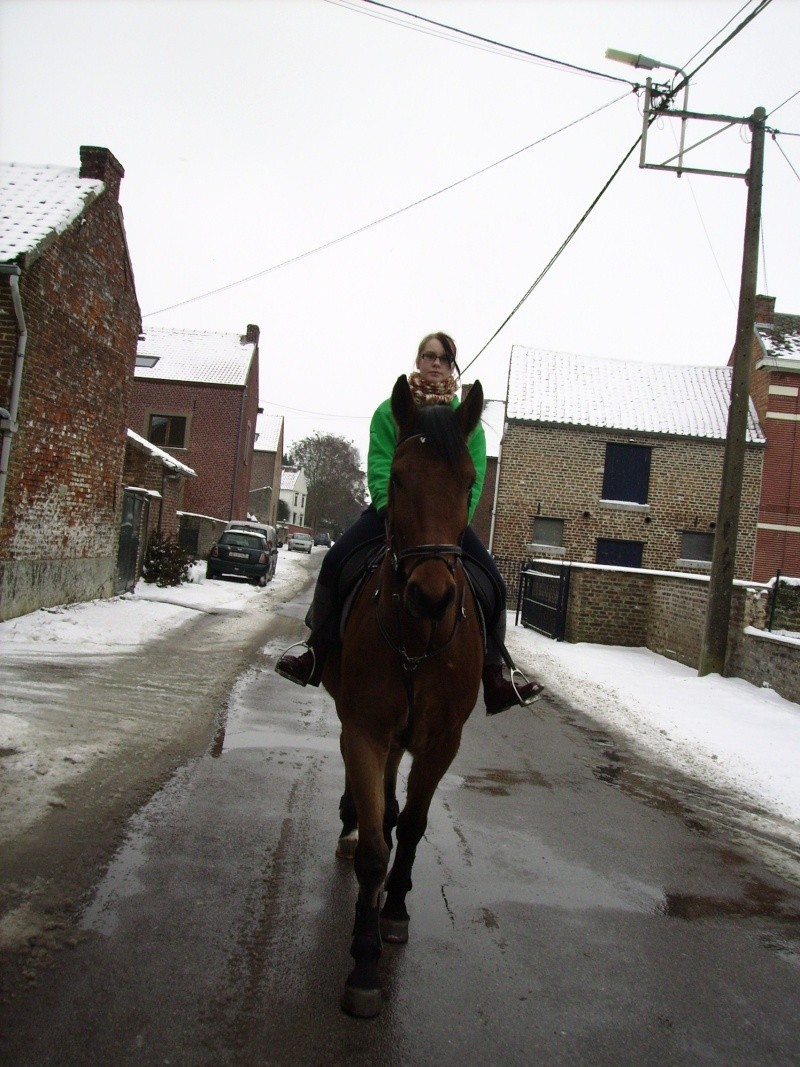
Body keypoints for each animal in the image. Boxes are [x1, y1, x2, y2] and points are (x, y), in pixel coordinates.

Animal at [322, 375, 486, 1015]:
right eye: (396, 478)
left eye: (468, 481)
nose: (432, 596)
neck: (418, 638)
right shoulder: (365, 729)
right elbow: (372, 849)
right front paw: (364, 964)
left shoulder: (442, 742)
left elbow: (414, 827)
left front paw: (393, 912)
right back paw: (351, 822)